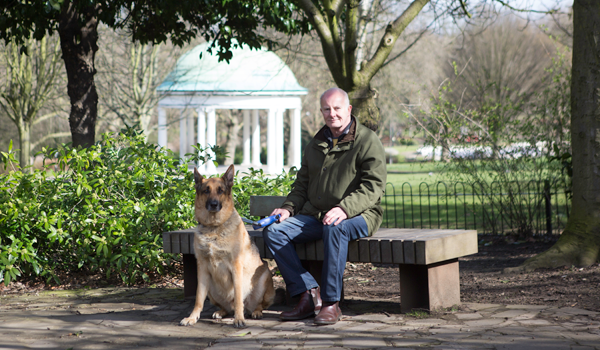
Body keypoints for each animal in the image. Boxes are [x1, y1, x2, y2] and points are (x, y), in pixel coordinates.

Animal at [179, 165, 276, 328]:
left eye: (221, 190)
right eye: (206, 190)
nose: (213, 204)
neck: (214, 227)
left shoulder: (236, 266)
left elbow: (238, 296)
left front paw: (239, 319)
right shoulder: (202, 268)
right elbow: (198, 299)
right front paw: (192, 318)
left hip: (264, 277)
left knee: (257, 304)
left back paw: (255, 312)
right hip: (211, 288)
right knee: (226, 307)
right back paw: (221, 312)